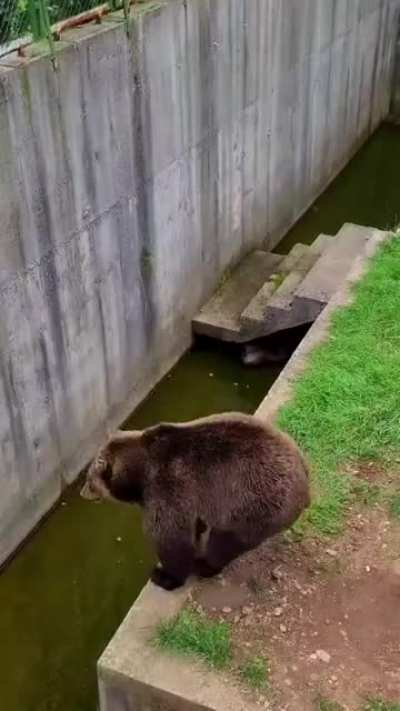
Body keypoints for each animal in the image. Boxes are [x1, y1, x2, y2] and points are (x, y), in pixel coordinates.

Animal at [80, 412, 310, 591]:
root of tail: (306, 482)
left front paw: (164, 575)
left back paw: (204, 566)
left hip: (254, 504)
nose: (82, 493)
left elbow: (171, 539)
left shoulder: (167, 488)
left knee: (224, 542)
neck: (140, 475)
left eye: (89, 480)